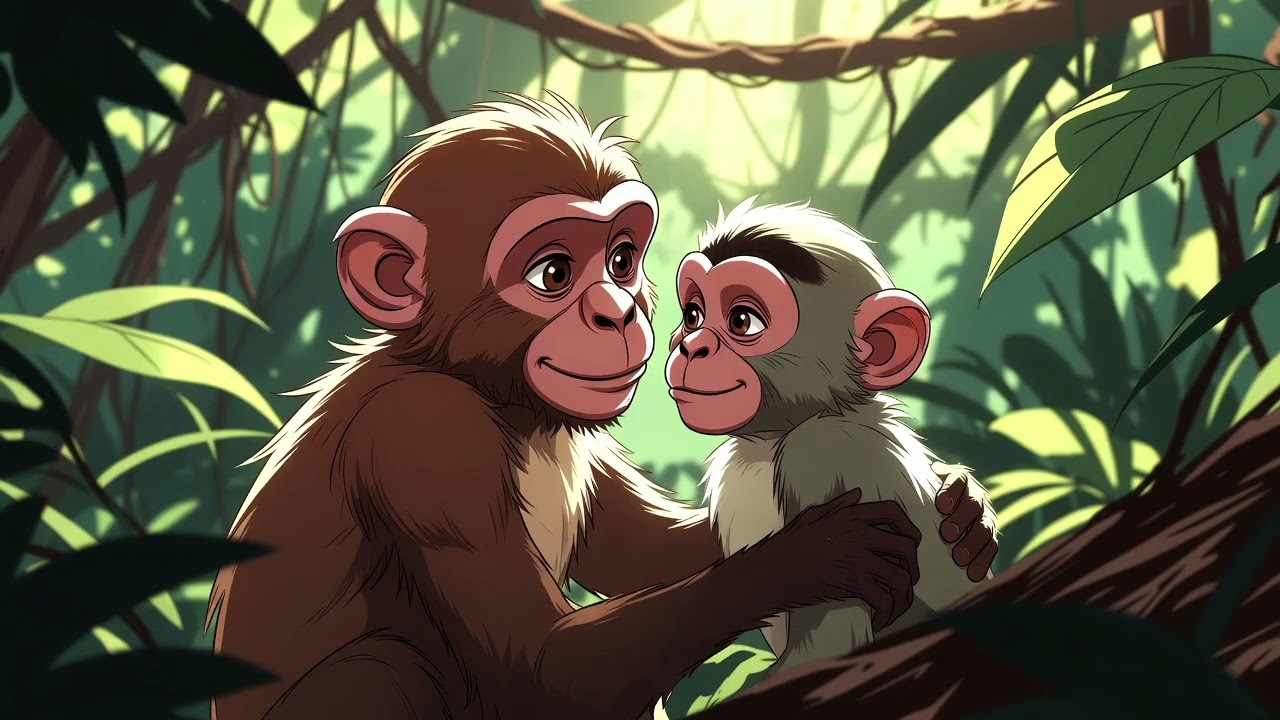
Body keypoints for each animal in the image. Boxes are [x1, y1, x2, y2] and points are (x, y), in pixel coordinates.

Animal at [665, 198, 999, 677]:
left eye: (742, 321)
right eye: (692, 315)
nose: (691, 345)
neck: (774, 440)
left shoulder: (820, 450)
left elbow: (830, 638)